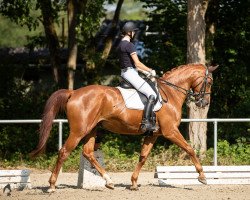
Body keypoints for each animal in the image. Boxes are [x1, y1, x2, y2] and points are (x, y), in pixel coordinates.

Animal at [30, 63, 217, 191]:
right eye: (209, 81)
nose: (204, 103)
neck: (169, 94)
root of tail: (74, 92)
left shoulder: (153, 134)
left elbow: (143, 157)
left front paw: (133, 183)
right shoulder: (170, 131)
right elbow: (190, 149)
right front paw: (202, 176)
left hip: (91, 130)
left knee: (88, 153)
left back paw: (109, 181)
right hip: (78, 131)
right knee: (63, 152)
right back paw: (52, 185)